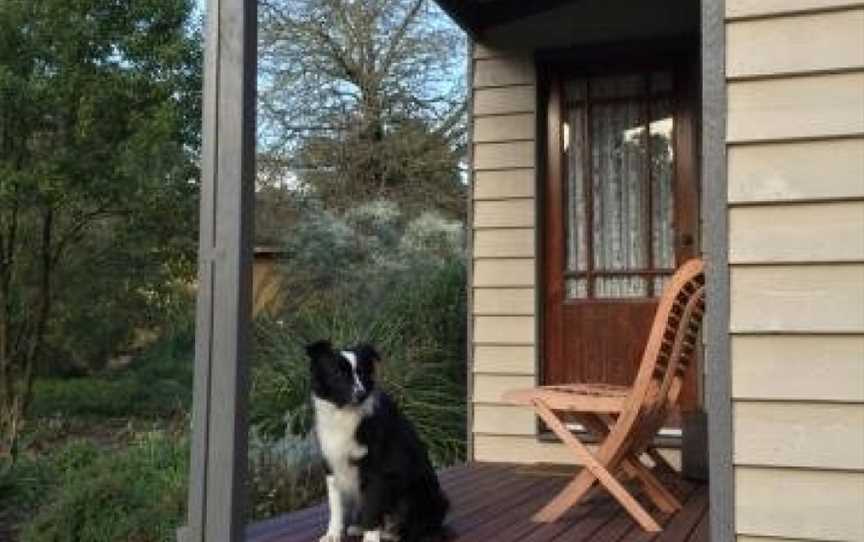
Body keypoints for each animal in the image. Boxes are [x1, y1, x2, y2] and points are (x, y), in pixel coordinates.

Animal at [306, 342, 452, 542]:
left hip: (413, 495)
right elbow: (336, 507)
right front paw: (333, 534)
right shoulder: (332, 466)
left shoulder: (377, 472)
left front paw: (370, 537)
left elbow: (372, 509)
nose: (360, 393)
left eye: (361, 373)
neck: (344, 414)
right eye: (338, 374)